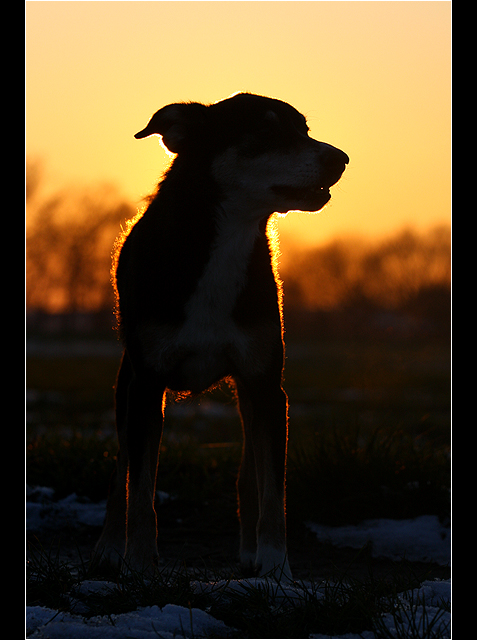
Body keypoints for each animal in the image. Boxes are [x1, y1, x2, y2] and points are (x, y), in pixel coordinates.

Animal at [94, 91, 346, 580]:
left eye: (304, 130)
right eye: (265, 131)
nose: (340, 159)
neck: (227, 240)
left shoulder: (267, 385)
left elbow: (272, 492)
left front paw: (276, 567)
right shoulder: (147, 384)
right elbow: (141, 488)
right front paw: (139, 562)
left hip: (249, 396)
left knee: (249, 475)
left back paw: (249, 552)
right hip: (126, 385)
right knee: (120, 475)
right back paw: (111, 548)